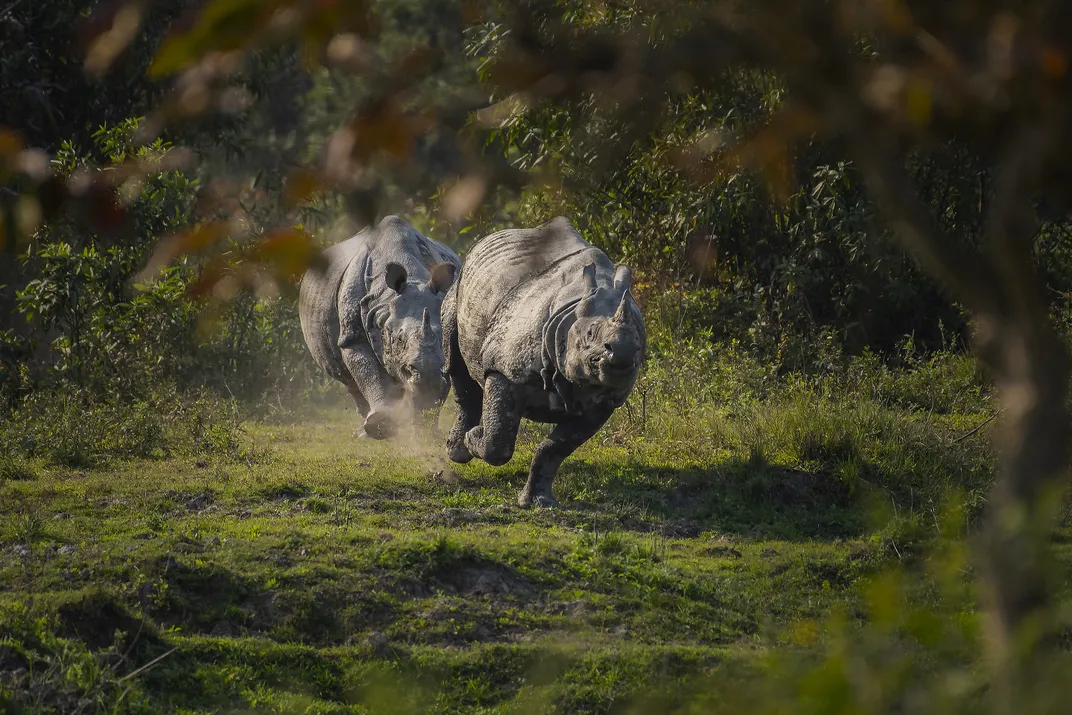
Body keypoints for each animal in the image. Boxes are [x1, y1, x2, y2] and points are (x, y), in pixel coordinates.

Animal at [298, 214, 460, 437]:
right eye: (398, 338)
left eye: (442, 336)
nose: (427, 373)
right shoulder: (353, 336)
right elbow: (369, 374)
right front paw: (380, 426)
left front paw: (424, 428)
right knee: (349, 380)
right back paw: (366, 430)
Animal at [441, 215, 643, 505]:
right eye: (590, 334)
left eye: (637, 343)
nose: (622, 353)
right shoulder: (505, 369)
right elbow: (498, 442)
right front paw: (476, 436)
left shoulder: (605, 401)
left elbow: (554, 449)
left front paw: (538, 502)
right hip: (459, 285)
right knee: (455, 358)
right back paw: (458, 451)